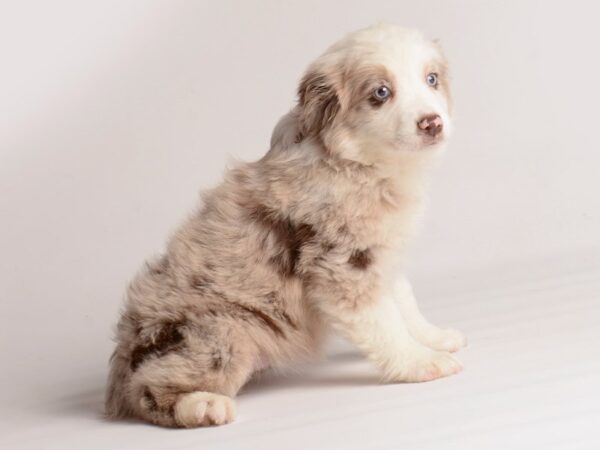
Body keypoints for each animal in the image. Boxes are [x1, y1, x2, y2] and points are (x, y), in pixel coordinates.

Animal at [104, 22, 468, 428]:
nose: (432, 122)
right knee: (149, 388)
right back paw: (203, 406)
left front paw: (433, 337)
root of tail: (118, 366)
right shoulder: (340, 264)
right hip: (222, 331)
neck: (360, 163)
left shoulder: (381, 254)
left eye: (432, 79)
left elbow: (404, 302)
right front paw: (420, 362)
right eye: (380, 93)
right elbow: (384, 322)